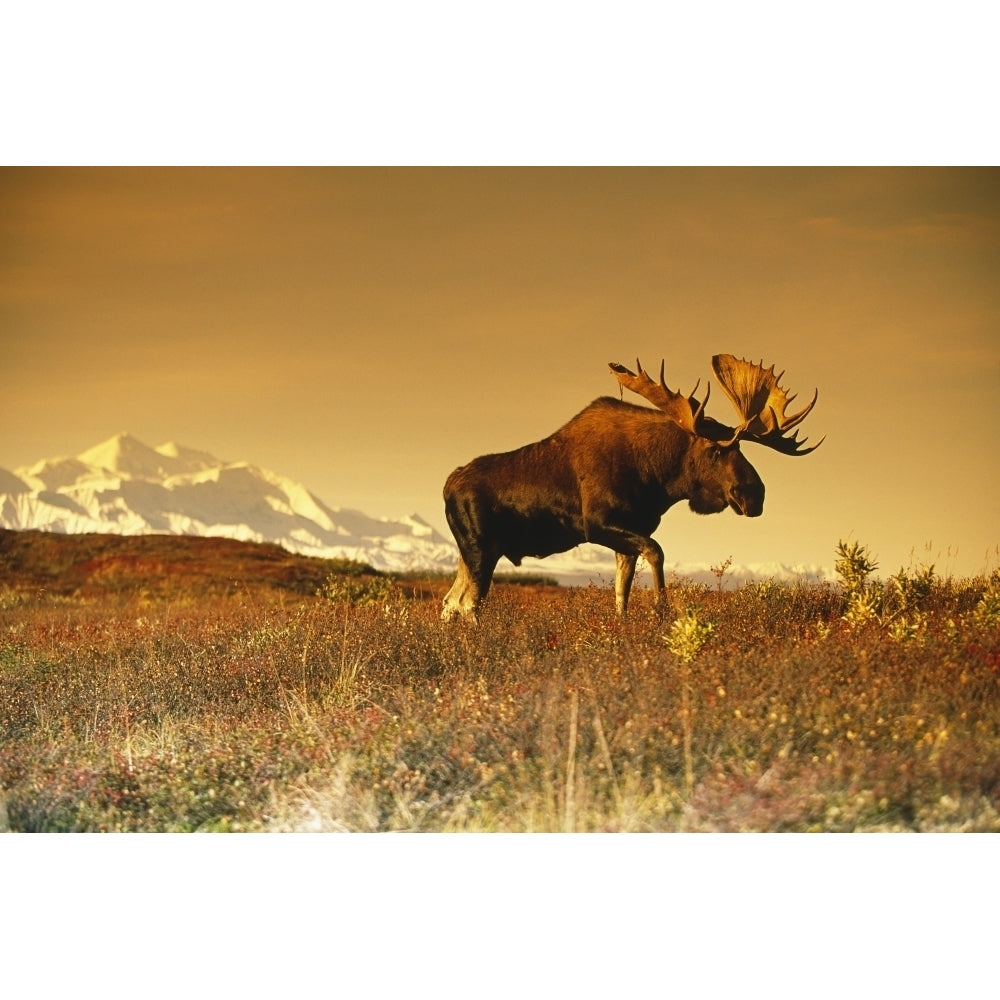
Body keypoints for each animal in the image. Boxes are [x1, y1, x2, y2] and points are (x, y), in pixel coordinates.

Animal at [438, 352, 820, 616]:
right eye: (715, 450)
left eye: (741, 449)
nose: (754, 495)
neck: (656, 477)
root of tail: (446, 486)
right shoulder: (597, 525)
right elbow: (657, 551)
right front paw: (662, 609)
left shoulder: (627, 536)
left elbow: (622, 596)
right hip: (481, 549)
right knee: (468, 605)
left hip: (471, 552)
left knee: (450, 603)